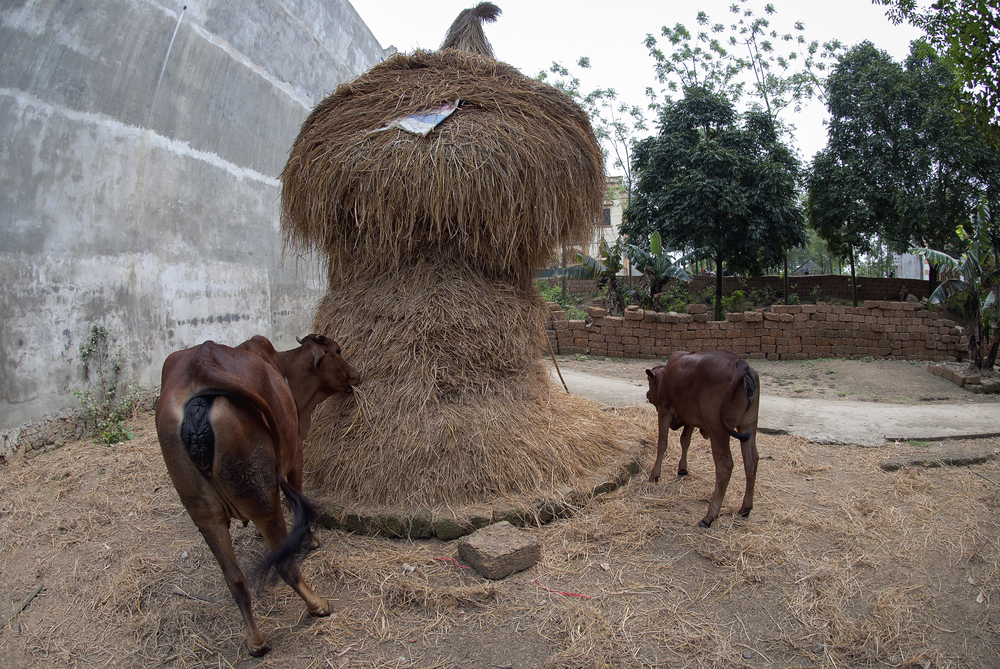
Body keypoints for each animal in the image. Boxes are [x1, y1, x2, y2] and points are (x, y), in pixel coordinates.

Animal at [154, 332, 362, 656]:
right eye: (338, 351)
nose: (357, 374)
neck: (283, 369)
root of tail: (200, 369)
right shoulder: (297, 452)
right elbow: (299, 495)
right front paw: (311, 540)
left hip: (205, 514)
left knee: (236, 580)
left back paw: (255, 641)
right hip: (263, 500)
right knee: (283, 564)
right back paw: (317, 605)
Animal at [644, 350, 760, 528]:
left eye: (650, 381)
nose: (648, 394)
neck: (666, 375)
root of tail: (740, 363)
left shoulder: (664, 410)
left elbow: (662, 443)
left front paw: (655, 475)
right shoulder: (690, 418)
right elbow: (685, 441)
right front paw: (682, 469)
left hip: (718, 430)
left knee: (725, 466)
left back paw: (709, 516)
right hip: (749, 426)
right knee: (751, 461)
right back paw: (745, 508)